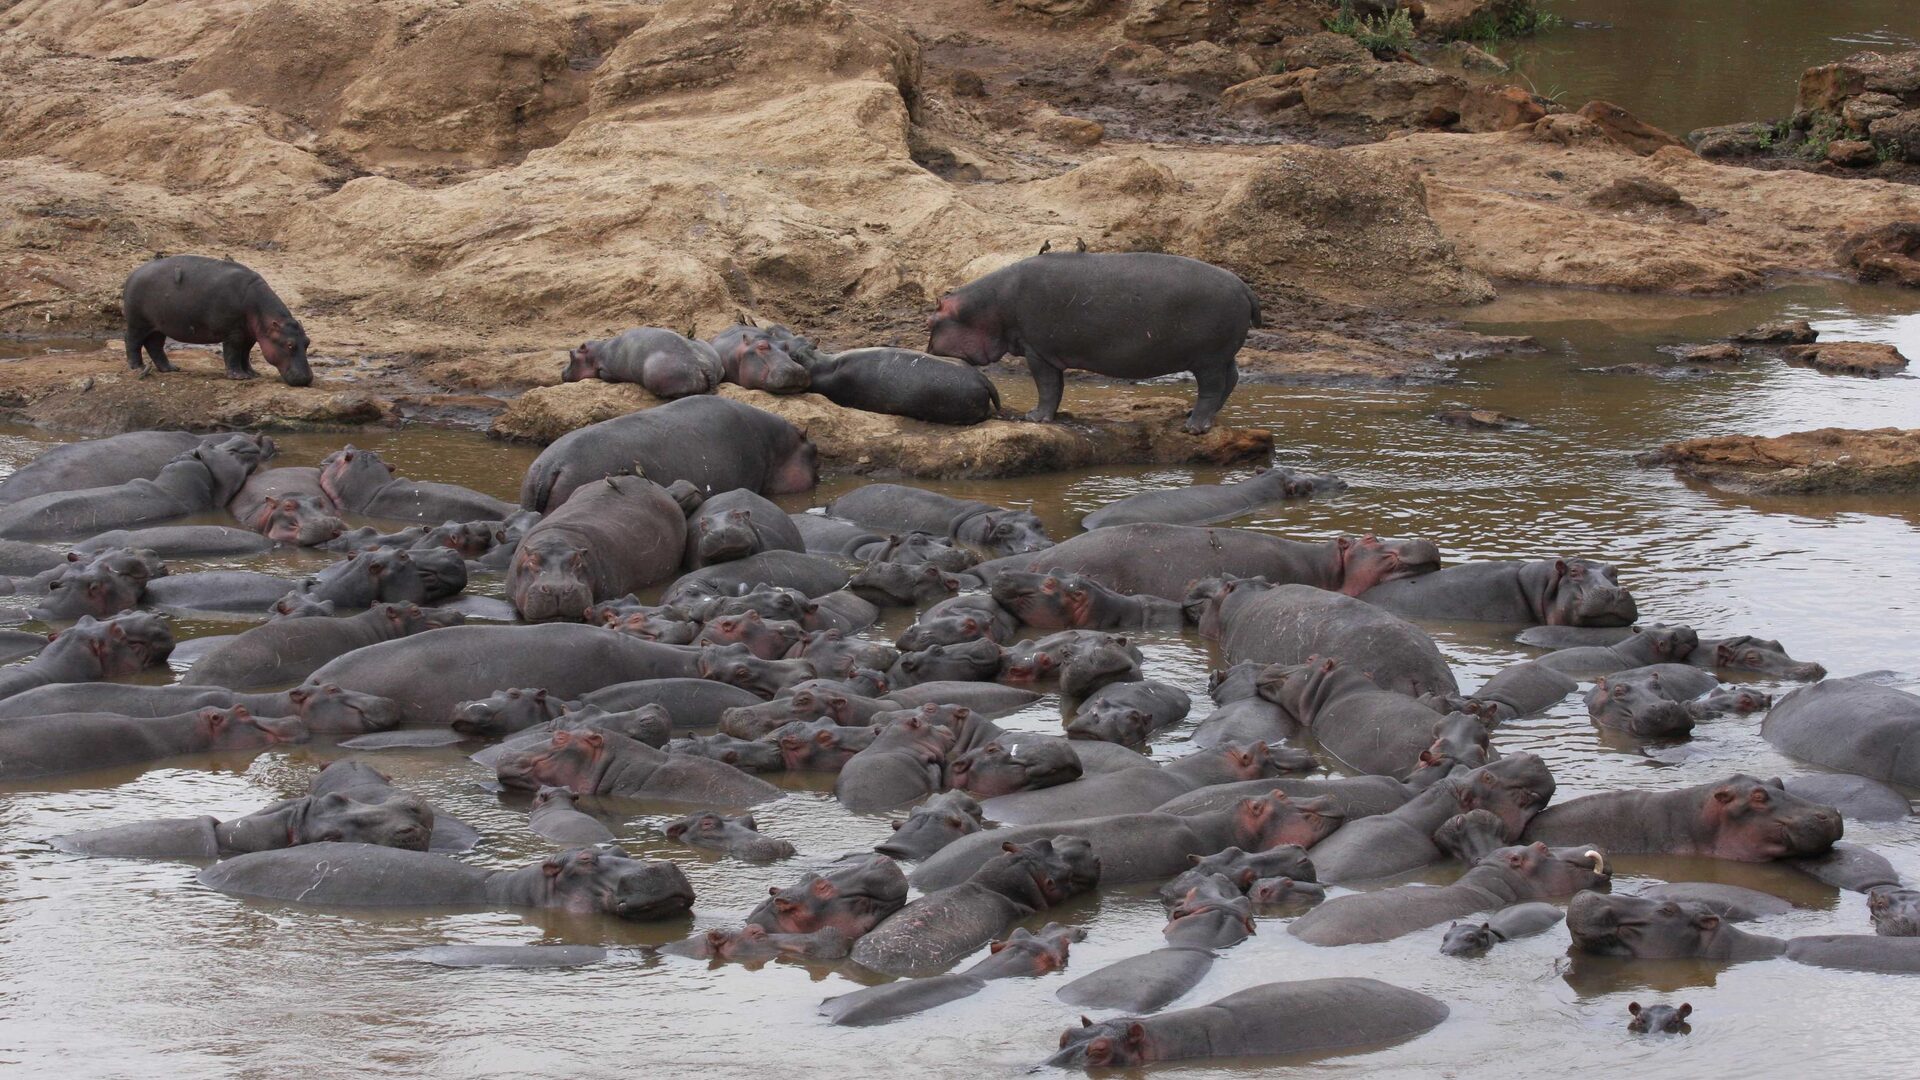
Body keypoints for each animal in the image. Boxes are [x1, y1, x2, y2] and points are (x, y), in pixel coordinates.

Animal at [122, 255, 312, 385]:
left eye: (308, 342)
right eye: (289, 344)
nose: (307, 378)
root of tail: (133, 274)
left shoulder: (249, 335)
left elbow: (246, 354)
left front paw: (252, 373)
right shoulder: (234, 333)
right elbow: (233, 353)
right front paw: (239, 377)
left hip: (159, 326)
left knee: (154, 345)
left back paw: (171, 369)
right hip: (137, 323)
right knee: (132, 341)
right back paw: (138, 367)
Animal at [563, 327, 723, 398]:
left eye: (570, 353)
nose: (562, 372)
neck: (596, 351)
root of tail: (705, 365)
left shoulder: (607, 370)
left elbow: (604, 375)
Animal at [927, 251, 1259, 432]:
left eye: (930, 322)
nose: (927, 350)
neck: (989, 306)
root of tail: (1244, 286)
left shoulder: (1037, 351)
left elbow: (1047, 387)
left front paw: (1033, 418)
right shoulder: (1049, 353)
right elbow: (1057, 388)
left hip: (1208, 359)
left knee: (1212, 387)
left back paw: (1194, 427)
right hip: (1222, 355)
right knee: (1231, 379)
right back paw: (1197, 417)